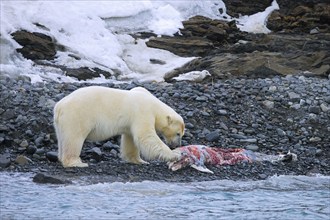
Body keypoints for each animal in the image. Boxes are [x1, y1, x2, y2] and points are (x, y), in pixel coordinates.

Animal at [52, 86, 184, 168]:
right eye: (178, 133)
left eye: (182, 134)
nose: (176, 145)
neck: (154, 105)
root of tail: (59, 106)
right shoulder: (143, 112)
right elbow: (145, 136)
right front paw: (175, 155)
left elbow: (130, 140)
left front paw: (139, 161)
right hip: (77, 116)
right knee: (74, 139)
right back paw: (77, 163)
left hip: (60, 123)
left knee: (62, 139)